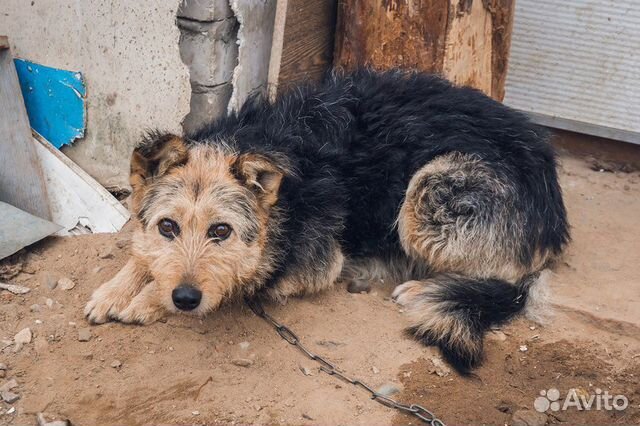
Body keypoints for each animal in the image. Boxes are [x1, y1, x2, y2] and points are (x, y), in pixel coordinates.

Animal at [85, 68, 568, 372]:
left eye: (221, 231)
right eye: (168, 227)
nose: (185, 298)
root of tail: (551, 195)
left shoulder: (315, 262)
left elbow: (242, 278)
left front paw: (146, 300)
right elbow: (143, 253)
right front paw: (116, 289)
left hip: (431, 186)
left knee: (507, 277)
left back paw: (421, 287)